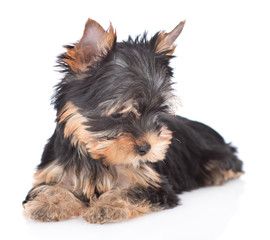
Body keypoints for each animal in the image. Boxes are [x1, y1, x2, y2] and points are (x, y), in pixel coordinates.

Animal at [22, 17, 244, 224]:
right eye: (118, 114)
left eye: (159, 111)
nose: (146, 148)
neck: (97, 157)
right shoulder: (54, 171)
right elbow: (48, 187)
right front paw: (50, 203)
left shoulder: (155, 184)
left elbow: (131, 192)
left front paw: (108, 206)